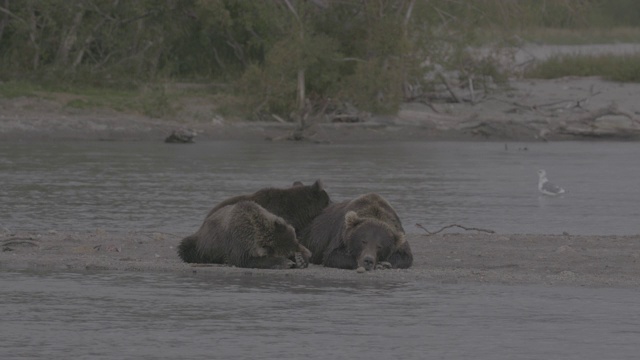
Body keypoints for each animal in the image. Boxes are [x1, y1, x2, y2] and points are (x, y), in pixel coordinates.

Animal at [178, 201, 312, 268]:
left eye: (297, 241)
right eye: (289, 254)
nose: (309, 254)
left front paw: (301, 260)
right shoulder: (238, 242)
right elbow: (244, 260)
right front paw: (285, 262)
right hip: (199, 244)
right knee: (185, 247)